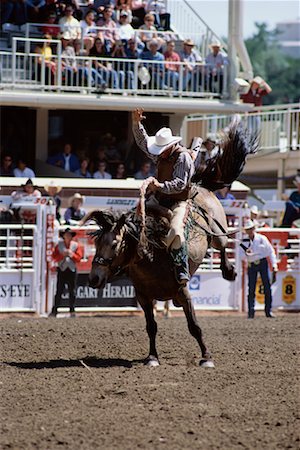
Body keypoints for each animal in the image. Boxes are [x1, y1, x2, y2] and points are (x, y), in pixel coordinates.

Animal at [81, 118, 256, 366]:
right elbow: (151, 327)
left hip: (217, 233)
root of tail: (199, 185)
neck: (152, 258)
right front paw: (152, 357)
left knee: (223, 247)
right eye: (96, 245)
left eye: (114, 245)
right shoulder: (143, 297)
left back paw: (229, 271)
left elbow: (194, 326)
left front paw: (206, 357)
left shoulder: (183, 292)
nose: (94, 278)